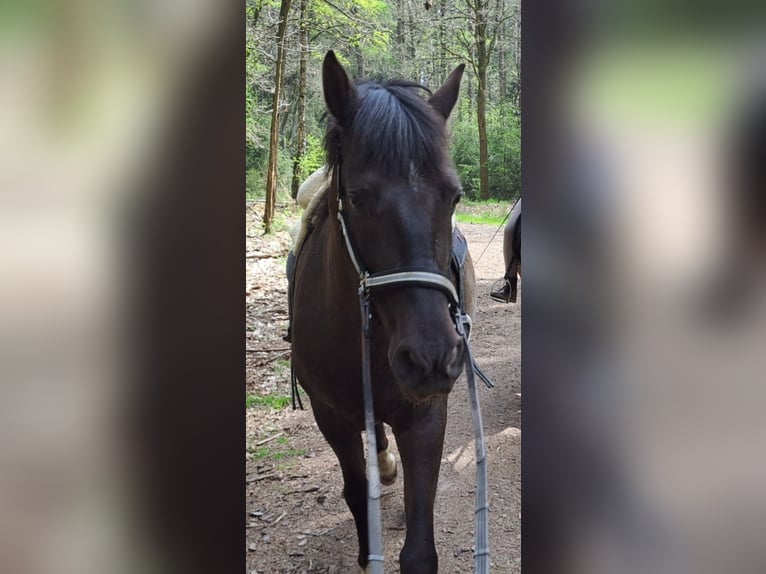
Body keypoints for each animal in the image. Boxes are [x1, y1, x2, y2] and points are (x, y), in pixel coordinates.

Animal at [292, 51, 476, 572]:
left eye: (454, 196)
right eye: (357, 198)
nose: (432, 358)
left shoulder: (427, 415)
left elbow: (419, 544)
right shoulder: (329, 416)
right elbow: (357, 492)